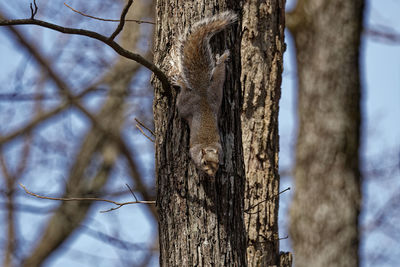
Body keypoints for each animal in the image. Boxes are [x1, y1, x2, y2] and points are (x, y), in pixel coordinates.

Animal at [169, 11, 238, 177]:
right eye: (205, 162)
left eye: (218, 163)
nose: (212, 174)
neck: (208, 145)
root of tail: (201, 92)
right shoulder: (194, 152)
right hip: (185, 103)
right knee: (183, 96)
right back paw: (180, 82)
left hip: (216, 88)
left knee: (219, 72)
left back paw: (222, 58)